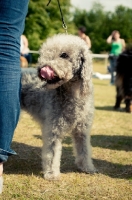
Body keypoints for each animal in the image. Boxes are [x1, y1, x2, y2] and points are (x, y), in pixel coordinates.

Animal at [21, 34, 96, 180]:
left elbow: (84, 150)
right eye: (43, 53)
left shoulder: (82, 129)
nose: (41, 69)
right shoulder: (53, 129)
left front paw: (87, 167)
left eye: (64, 55)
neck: (73, 95)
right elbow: (52, 153)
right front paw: (51, 174)